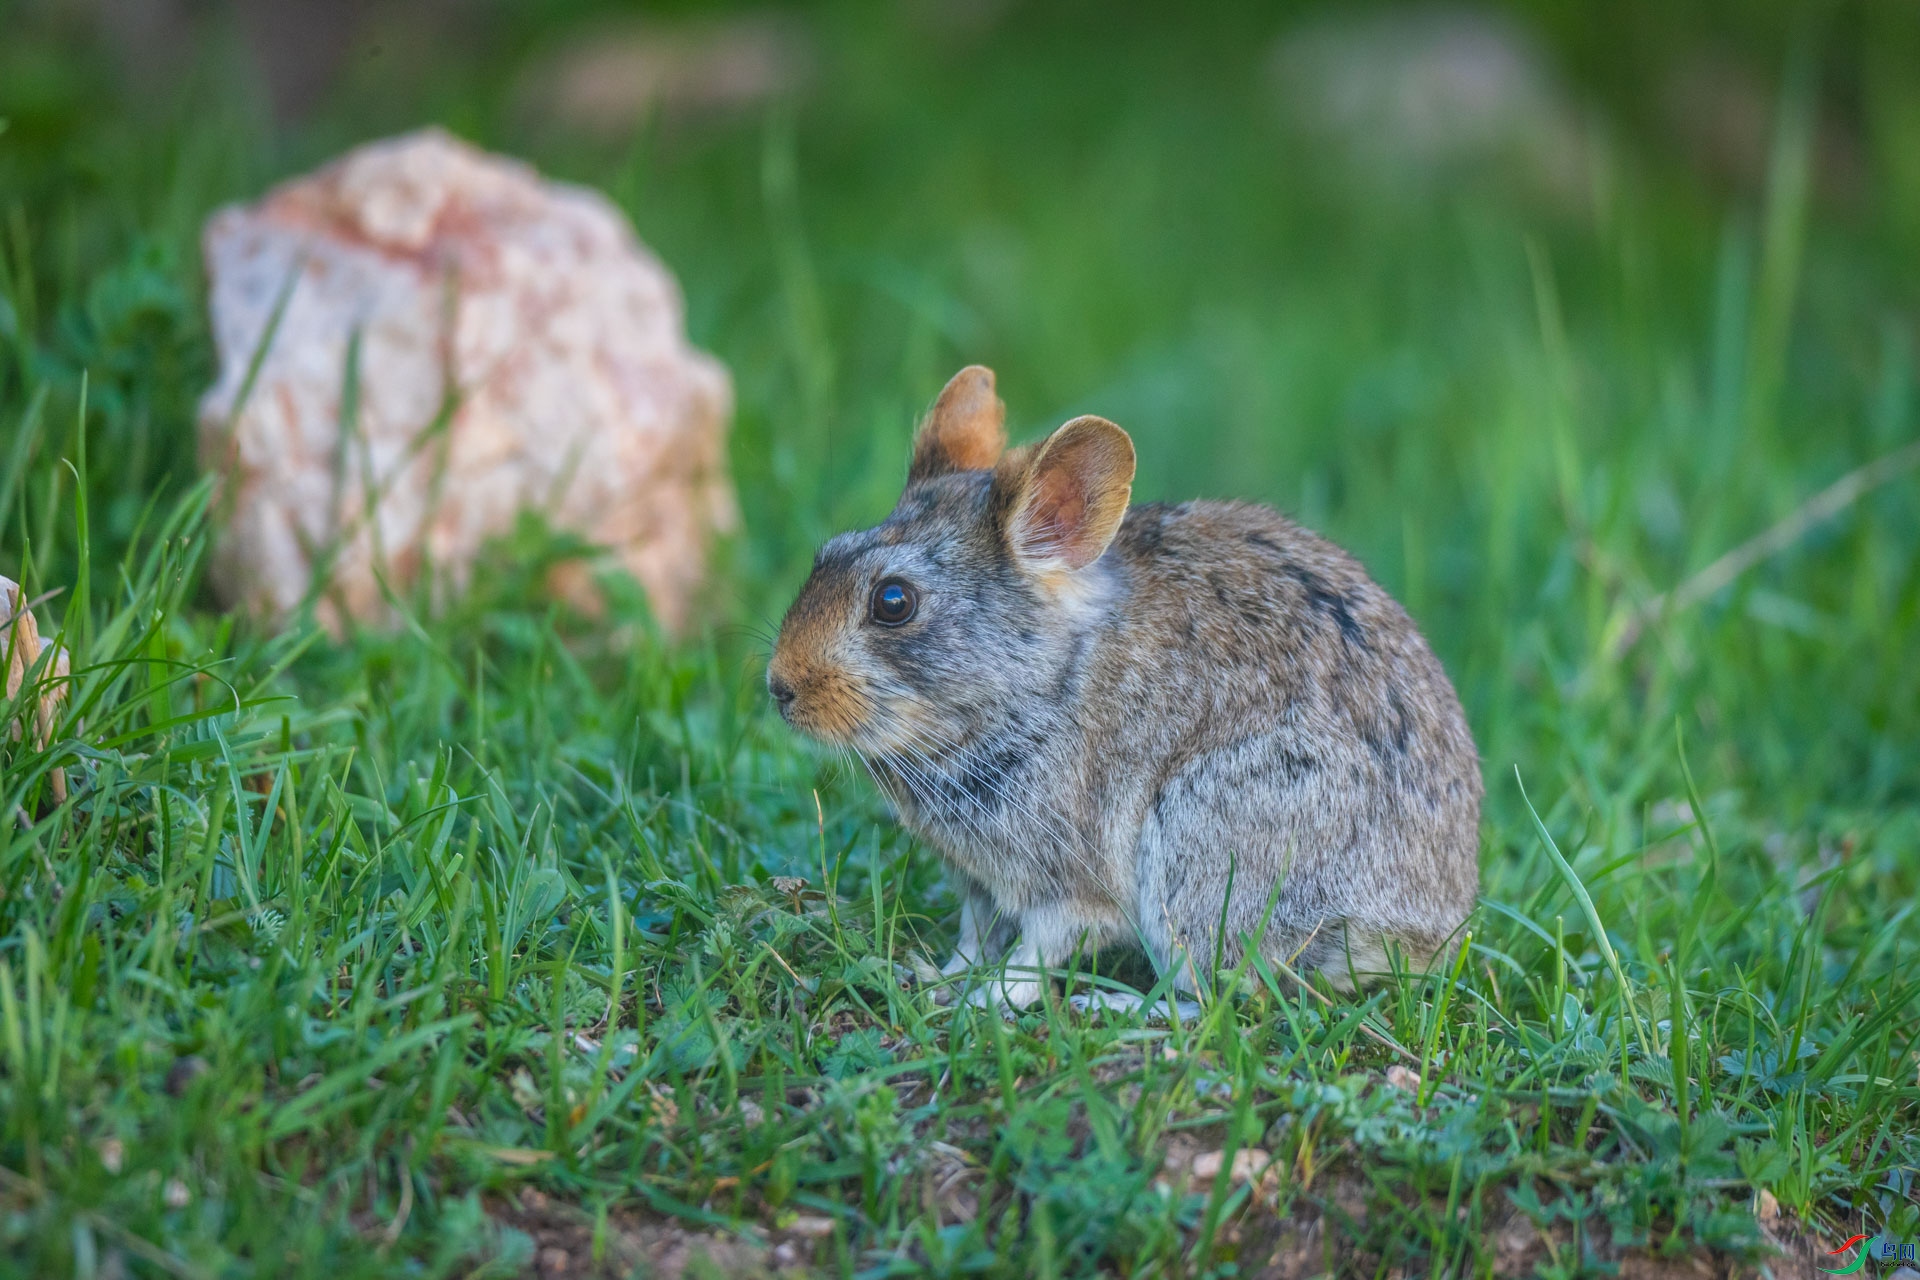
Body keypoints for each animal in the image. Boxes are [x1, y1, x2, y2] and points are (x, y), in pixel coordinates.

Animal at [768, 364, 1482, 1005]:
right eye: (826, 555)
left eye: (893, 602)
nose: (780, 689)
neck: (1042, 681)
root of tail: (1415, 935)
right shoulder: (981, 882)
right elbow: (975, 934)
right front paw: (940, 978)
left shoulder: (1071, 883)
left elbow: (1042, 948)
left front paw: (988, 1000)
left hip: (1205, 849)